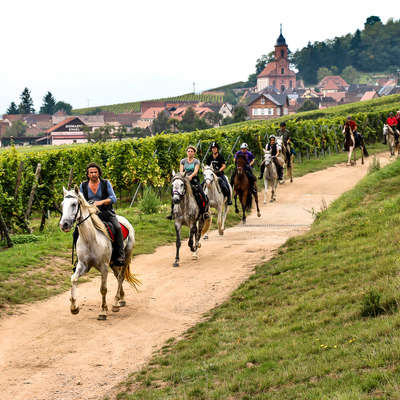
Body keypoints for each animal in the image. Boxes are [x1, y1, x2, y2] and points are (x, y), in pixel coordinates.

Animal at [59, 188, 139, 322]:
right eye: (62, 205)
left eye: (74, 204)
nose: (64, 224)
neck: (90, 238)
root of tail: (125, 221)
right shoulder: (83, 266)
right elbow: (73, 279)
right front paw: (74, 308)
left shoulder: (104, 267)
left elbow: (103, 289)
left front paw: (103, 311)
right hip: (112, 263)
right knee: (118, 277)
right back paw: (121, 299)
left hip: (126, 258)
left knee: (121, 277)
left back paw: (116, 303)